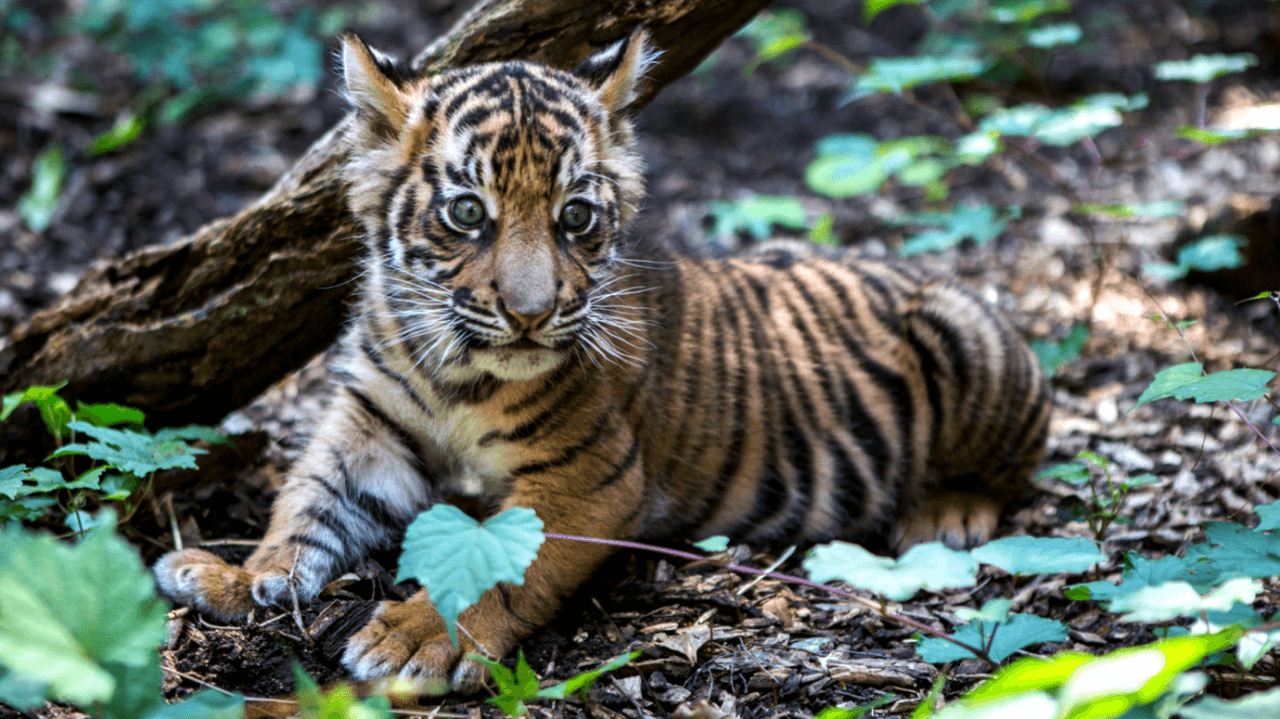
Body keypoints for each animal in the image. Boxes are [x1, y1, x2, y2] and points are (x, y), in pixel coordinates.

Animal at [154, 28, 1051, 693]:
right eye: (468, 212)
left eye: (576, 216)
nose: (530, 312)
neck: (453, 371)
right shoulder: (368, 433)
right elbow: (303, 507)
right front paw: (235, 574)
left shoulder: (586, 482)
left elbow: (495, 561)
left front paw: (411, 638)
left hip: (965, 333)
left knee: (1016, 464)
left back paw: (948, 510)